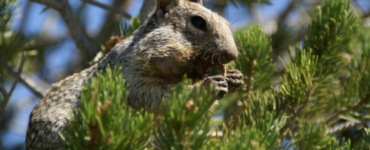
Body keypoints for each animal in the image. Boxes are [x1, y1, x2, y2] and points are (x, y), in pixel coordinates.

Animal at [25, 0, 243, 149]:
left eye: (227, 23)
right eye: (198, 21)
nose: (232, 55)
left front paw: (234, 77)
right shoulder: (129, 76)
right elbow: (156, 97)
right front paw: (207, 86)